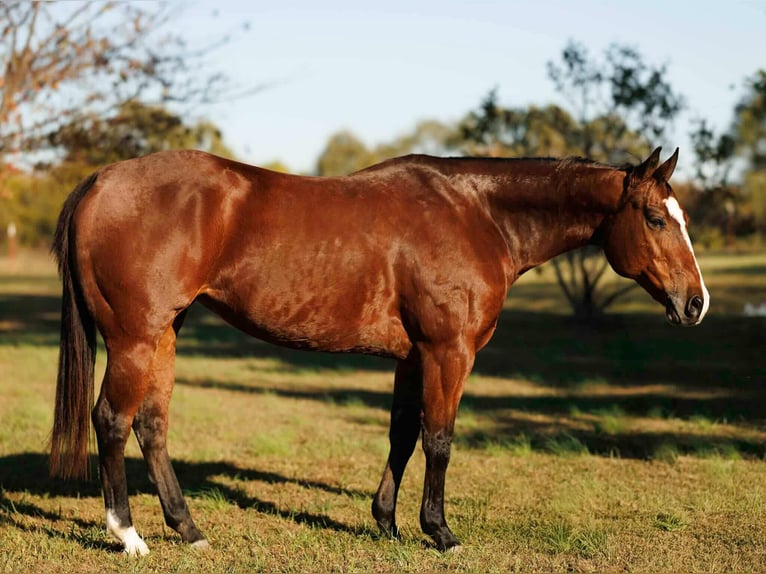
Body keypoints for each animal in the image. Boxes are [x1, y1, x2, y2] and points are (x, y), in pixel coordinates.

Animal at [50, 146, 709, 555]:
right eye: (655, 218)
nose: (696, 304)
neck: (476, 214)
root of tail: (103, 180)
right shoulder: (449, 353)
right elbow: (439, 439)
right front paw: (440, 532)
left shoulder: (414, 357)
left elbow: (403, 435)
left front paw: (388, 524)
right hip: (135, 339)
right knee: (111, 421)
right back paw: (128, 536)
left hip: (164, 334)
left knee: (152, 426)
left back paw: (189, 530)